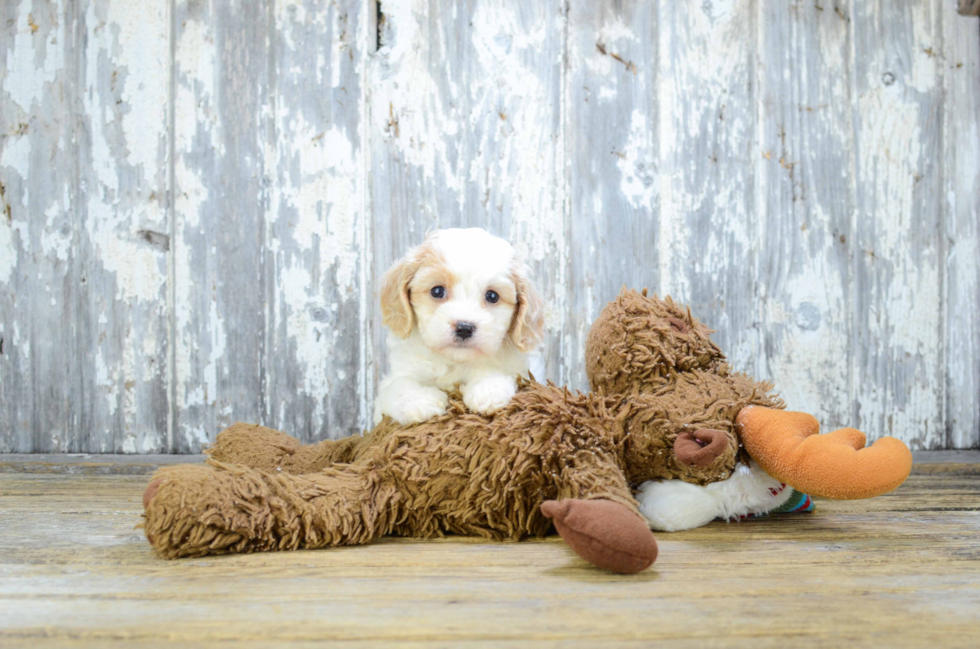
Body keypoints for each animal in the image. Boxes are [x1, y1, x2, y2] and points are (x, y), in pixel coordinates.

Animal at [374, 228, 544, 426]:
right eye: (437, 291)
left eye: (492, 296)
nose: (464, 327)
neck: (454, 362)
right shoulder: (395, 378)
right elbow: (398, 385)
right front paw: (420, 401)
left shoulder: (521, 371)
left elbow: (498, 373)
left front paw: (488, 390)